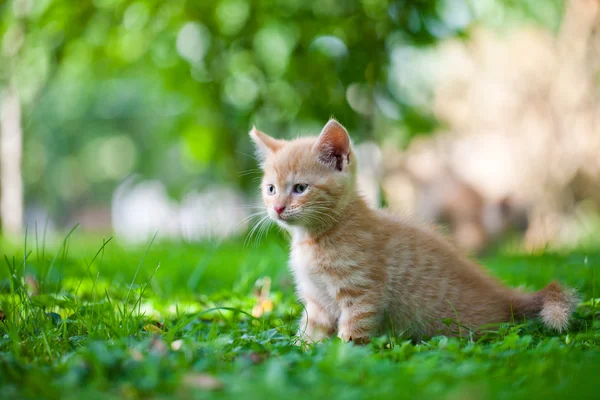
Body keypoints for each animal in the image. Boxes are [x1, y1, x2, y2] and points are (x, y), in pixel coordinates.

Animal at [248, 119, 576, 344]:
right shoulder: (316, 304)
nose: (277, 208)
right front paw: (300, 350)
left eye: (300, 188)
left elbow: (353, 332)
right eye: (271, 189)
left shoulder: (362, 293)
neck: (314, 238)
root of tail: (506, 296)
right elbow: (309, 334)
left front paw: (343, 356)